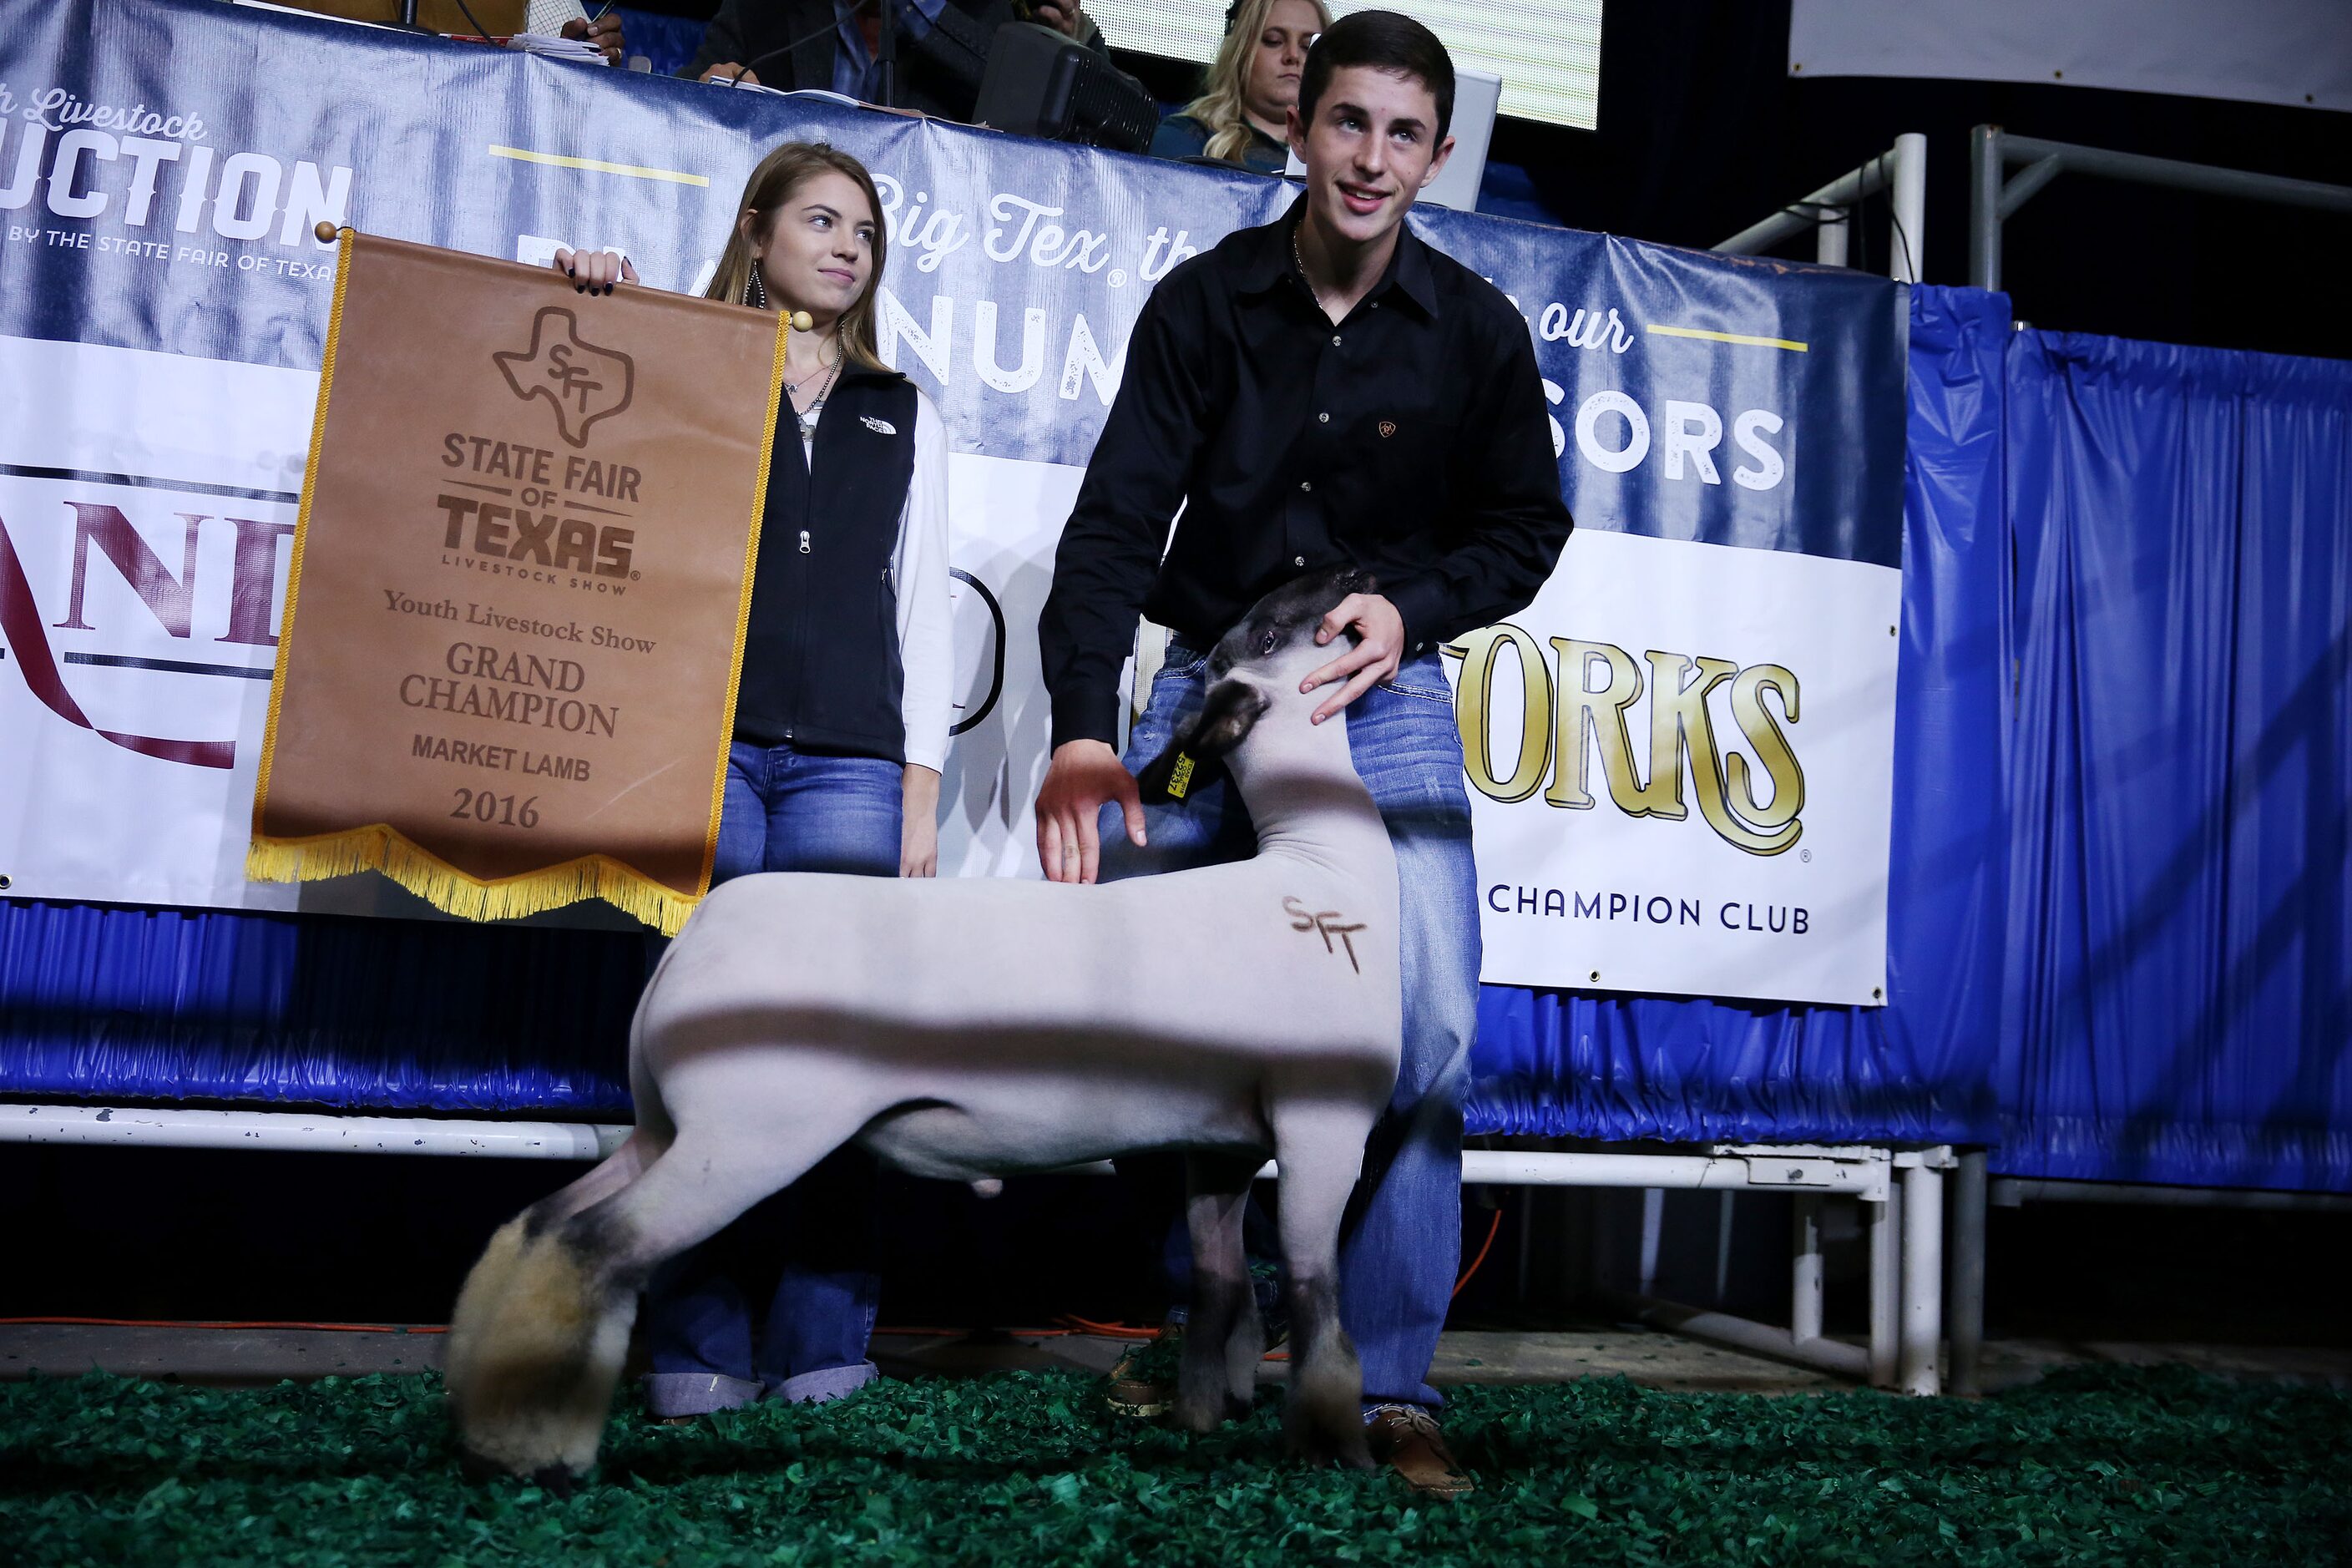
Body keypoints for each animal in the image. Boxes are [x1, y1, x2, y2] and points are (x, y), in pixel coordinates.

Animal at [442, 566, 1392, 1485]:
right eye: (1267, 634)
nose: (1345, 572)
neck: (1318, 868)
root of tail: (698, 933)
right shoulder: (1322, 1124)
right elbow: (1318, 1298)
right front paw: (1336, 1449)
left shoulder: (1220, 1145)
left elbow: (1222, 1289)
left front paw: (1207, 1417)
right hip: (746, 1135)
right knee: (593, 1246)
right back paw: (542, 1449)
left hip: (671, 1127)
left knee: (537, 1228)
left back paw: (488, 1425)